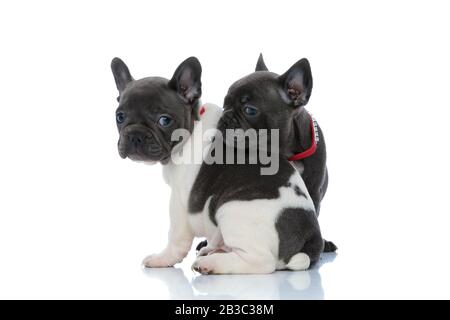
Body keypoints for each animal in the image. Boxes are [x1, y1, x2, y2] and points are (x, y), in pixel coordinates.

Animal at [112, 57, 324, 272]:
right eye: (119, 117)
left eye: (164, 120)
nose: (135, 135)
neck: (194, 126)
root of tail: (312, 236)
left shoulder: (179, 200)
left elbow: (176, 236)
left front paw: (163, 258)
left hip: (230, 210)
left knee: (261, 261)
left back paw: (212, 264)